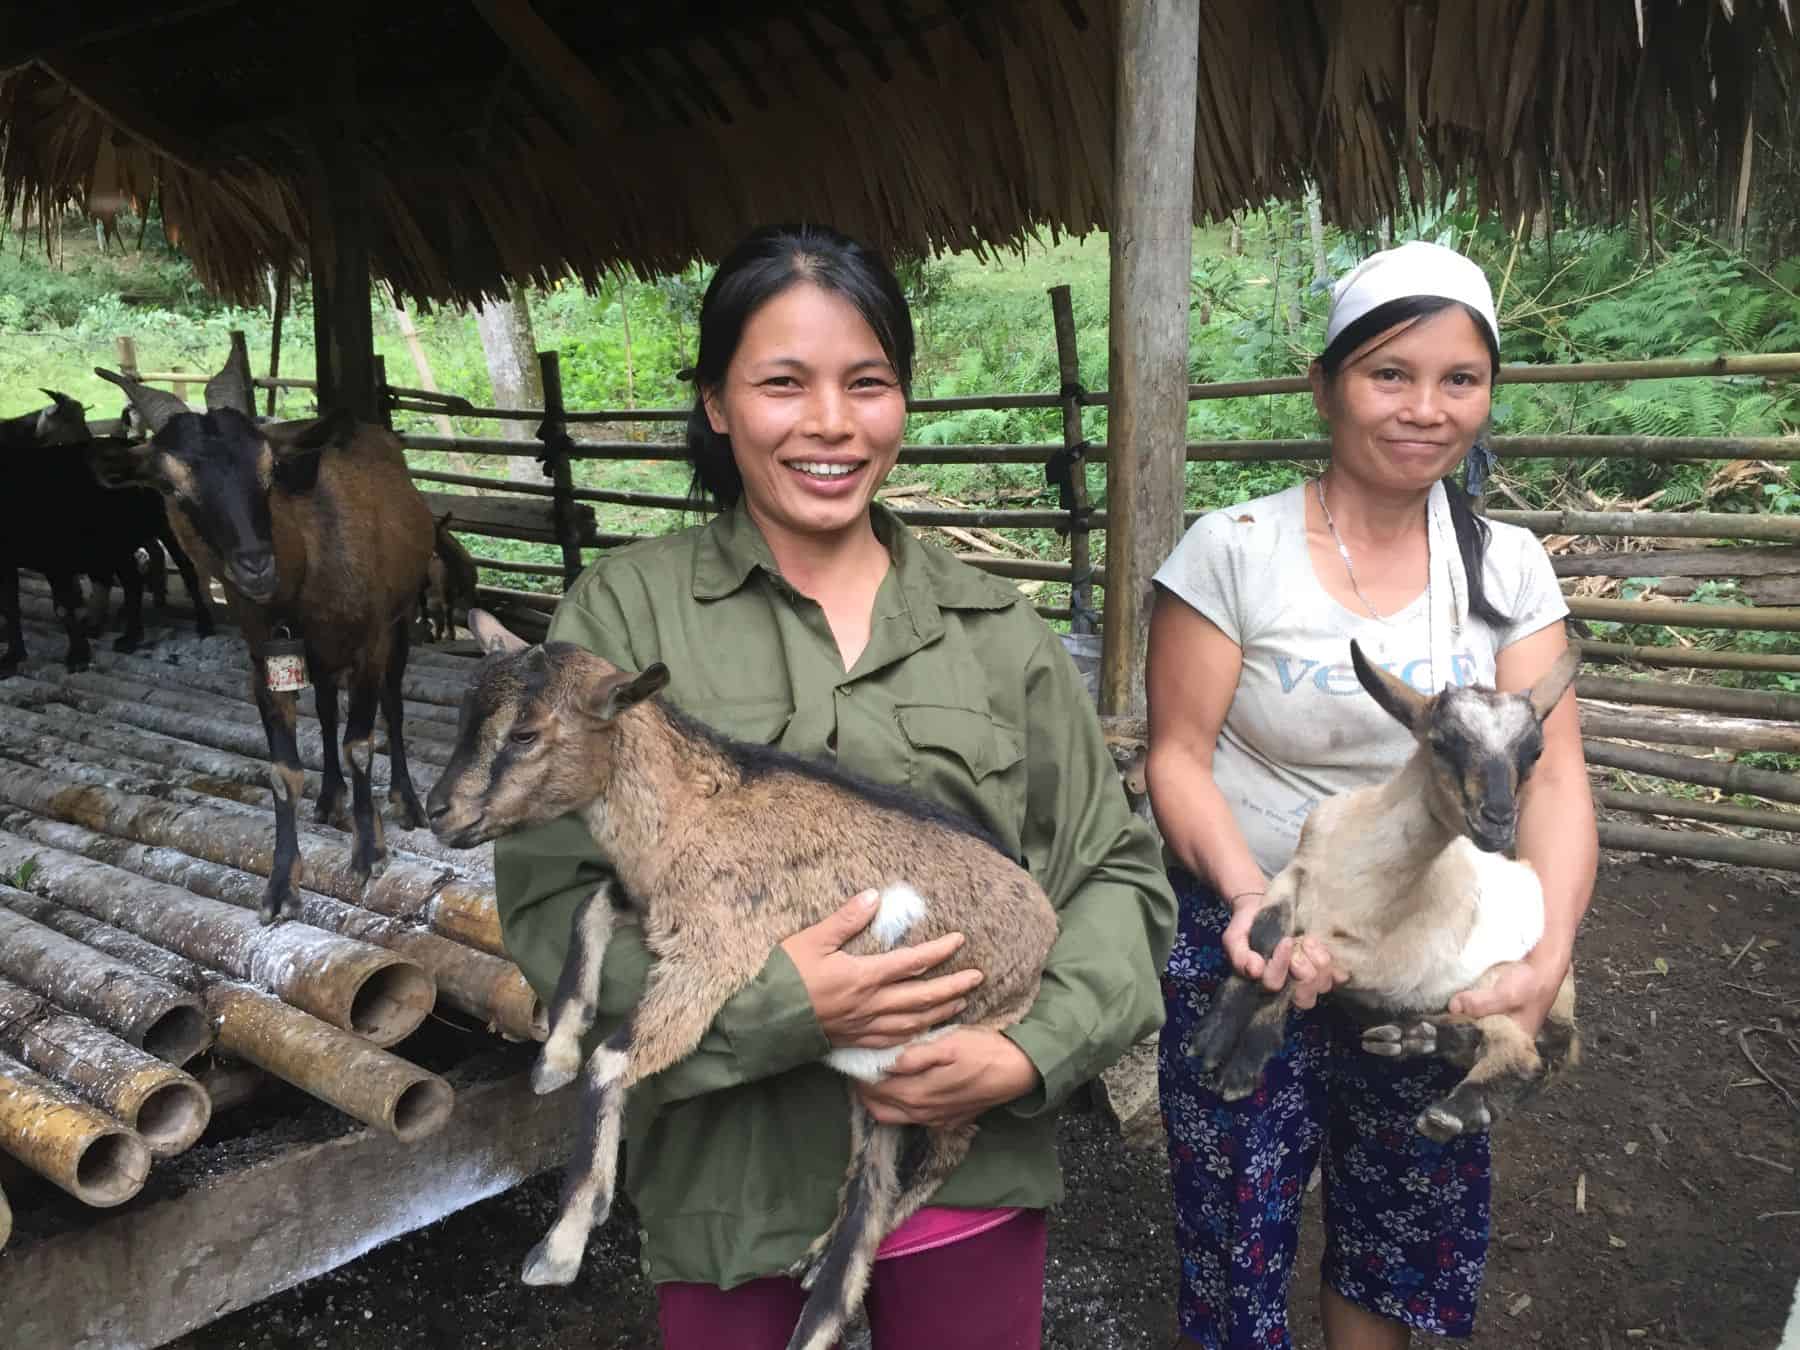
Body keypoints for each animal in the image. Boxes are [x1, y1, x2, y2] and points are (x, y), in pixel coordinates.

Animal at [98, 349, 435, 928]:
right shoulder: (264, 660)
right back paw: (329, 797)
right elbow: (283, 771)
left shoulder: (370, 642)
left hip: (400, 619)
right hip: (317, 658)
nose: (255, 566)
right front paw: (281, 885)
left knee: (391, 705)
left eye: (269, 470)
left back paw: (404, 801)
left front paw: (369, 851)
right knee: (326, 709)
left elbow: (361, 744)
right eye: (171, 487)